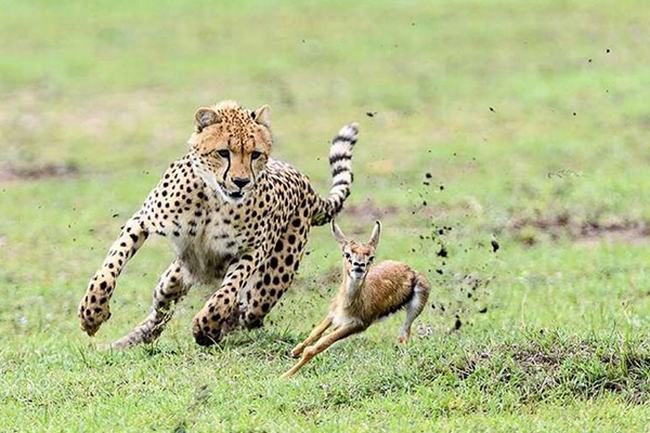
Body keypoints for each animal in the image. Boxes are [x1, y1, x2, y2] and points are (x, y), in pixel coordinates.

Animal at [79, 99, 360, 346]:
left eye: (255, 154)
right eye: (223, 153)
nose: (241, 182)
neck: (213, 199)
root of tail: (304, 181)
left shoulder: (252, 250)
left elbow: (229, 289)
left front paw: (206, 325)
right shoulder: (143, 220)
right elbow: (111, 264)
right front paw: (93, 311)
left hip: (267, 287)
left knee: (247, 314)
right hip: (171, 280)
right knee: (162, 309)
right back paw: (129, 341)